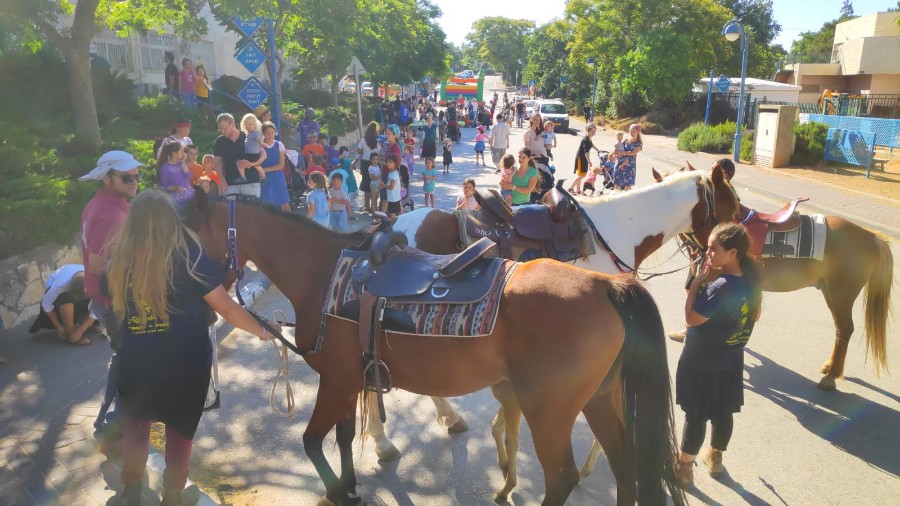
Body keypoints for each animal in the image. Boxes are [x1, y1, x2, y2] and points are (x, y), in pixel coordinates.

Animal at [186, 194, 684, 506]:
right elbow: (343, 438)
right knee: (624, 463)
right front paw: (348, 486)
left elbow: (311, 441)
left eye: (189, 238)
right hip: (599, 400)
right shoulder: (345, 381)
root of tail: (606, 286)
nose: (201, 304)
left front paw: (337, 490)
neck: (325, 273)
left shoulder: (334, 382)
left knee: (562, 477)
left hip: (550, 412)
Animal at [652, 163, 892, 392]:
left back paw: (831, 377)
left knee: (845, 329)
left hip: (841, 295)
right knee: (841, 330)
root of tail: (871, 236)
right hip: (830, 293)